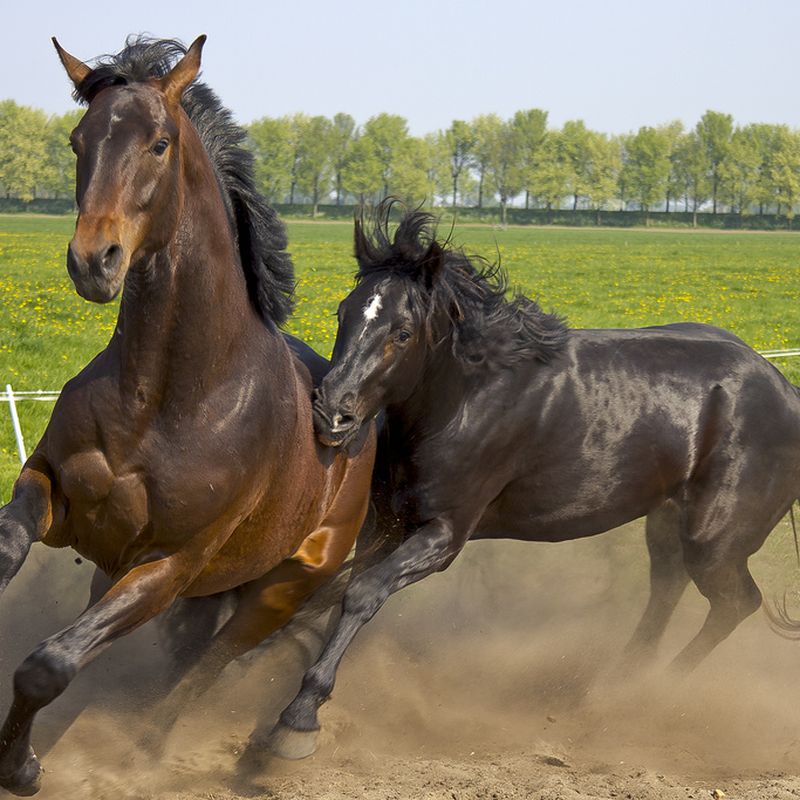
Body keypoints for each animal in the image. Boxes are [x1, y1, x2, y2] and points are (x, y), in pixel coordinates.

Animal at [0, 36, 376, 792]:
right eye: (78, 139)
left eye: (160, 144)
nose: (94, 261)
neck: (168, 396)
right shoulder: (56, 494)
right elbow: (7, 553)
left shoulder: (169, 566)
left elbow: (49, 663)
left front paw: (20, 768)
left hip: (282, 588)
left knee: (206, 670)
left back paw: (165, 749)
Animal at [266, 203, 800, 760]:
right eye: (342, 313)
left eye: (403, 332)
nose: (331, 413)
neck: (464, 401)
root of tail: (788, 393)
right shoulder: (386, 523)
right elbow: (334, 594)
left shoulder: (444, 535)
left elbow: (362, 593)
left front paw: (298, 718)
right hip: (667, 521)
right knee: (667, 588)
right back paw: (613, 685)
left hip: (715, 540)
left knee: (735, 604)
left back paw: (644, 696)